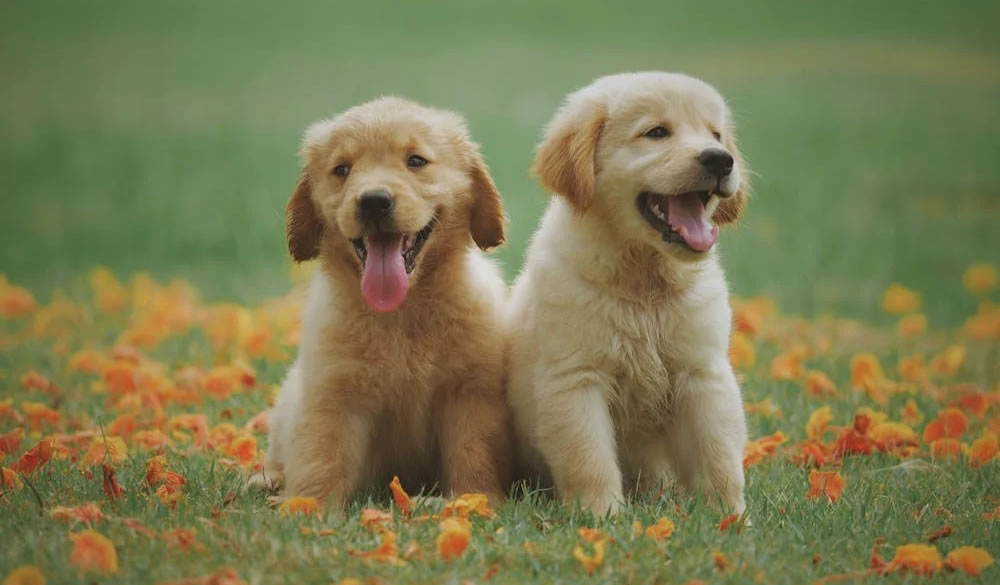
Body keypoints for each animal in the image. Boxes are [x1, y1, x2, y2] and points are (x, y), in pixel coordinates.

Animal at [254, 96, 512, 506]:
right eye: (342, 169)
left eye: (416, 161)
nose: (374, 202)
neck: (401, 313)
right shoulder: (332, 393)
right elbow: (320, 455)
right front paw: (307, 507)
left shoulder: (470, 393)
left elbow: (474, 453)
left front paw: (475, 501)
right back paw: (267, 481)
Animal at [508, 72, 752, 516]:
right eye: (656, 133)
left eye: (716, 134)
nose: (720, 160)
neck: (644, 282)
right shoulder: (576, 378)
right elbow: (589, 458)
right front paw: (600, 517)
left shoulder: (702, 373)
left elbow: (719, 454)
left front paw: (730, 518)